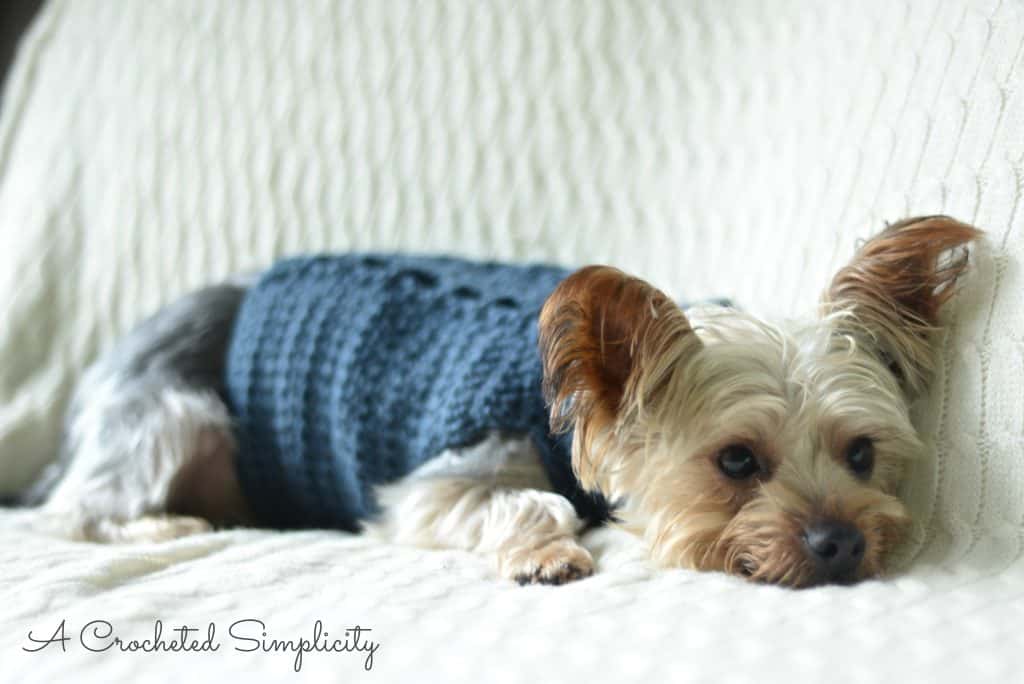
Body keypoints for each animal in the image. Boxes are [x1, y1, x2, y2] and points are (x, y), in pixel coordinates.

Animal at [14, 215, 974, 589]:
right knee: (75, 507)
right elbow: (531, 497)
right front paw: (546, 553)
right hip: (170, 409)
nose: (839, 544)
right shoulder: (437, 477)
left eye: (862, 454)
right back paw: (161, 522)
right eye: (736, 461)